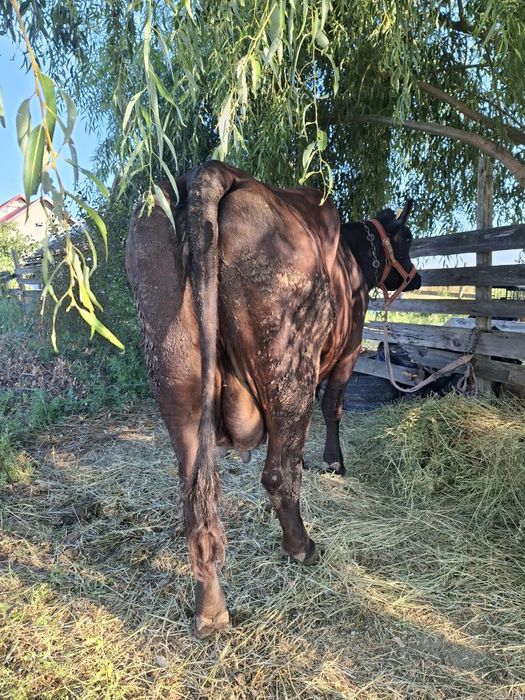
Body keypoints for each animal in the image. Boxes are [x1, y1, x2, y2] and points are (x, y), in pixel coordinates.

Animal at [126, 160, 421, 638]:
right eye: (407, 236)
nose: (418, 275)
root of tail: (211, 170)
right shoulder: (350, 347)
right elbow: (333, 406)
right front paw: (333, 463)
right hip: (289, 364)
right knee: (279, 471)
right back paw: (302, 547)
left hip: (172, 367)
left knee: (194, 494)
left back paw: (210, 609)